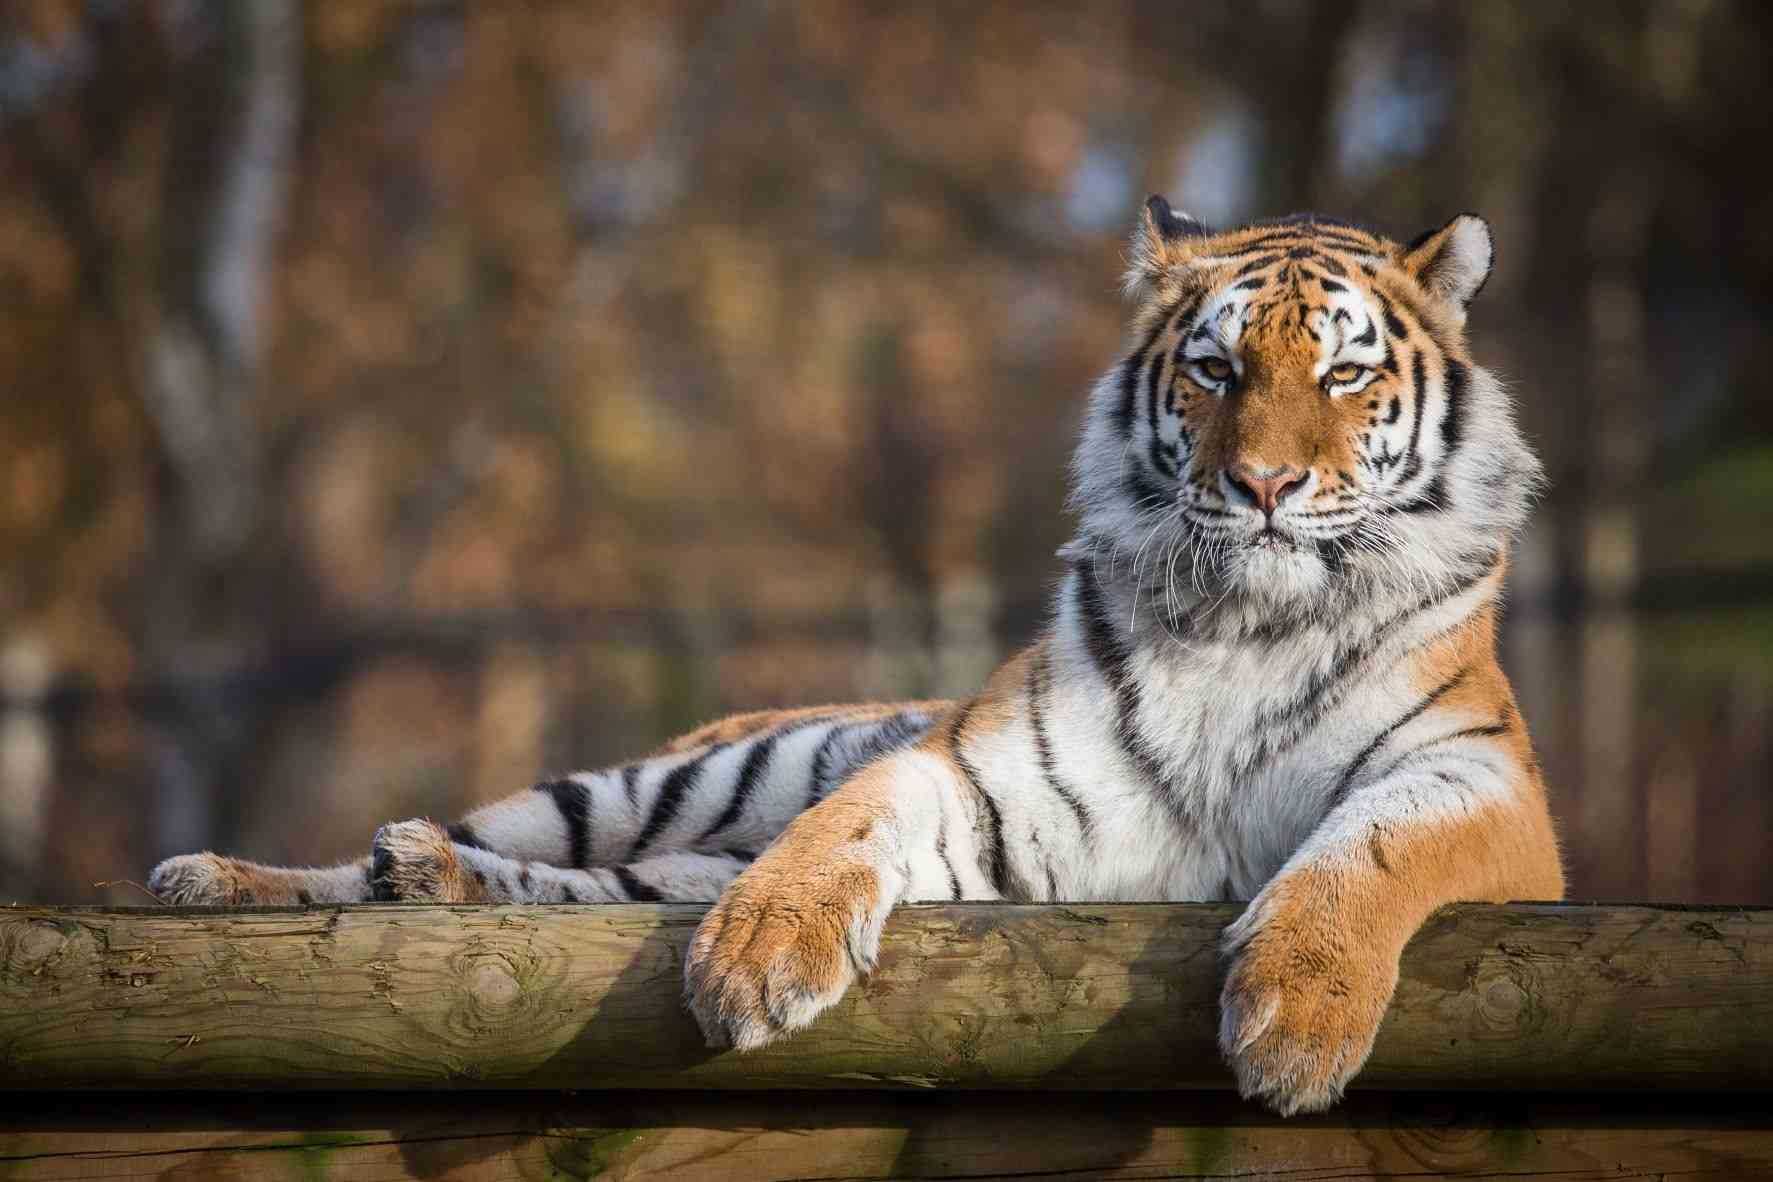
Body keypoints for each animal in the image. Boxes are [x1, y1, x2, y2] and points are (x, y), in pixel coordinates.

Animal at [152, 198, 1567, 1112]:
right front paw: (759, 955)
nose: (1265, 485)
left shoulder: (1480, 783)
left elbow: (1369, 853)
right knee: (488, 844)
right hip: (667, 782)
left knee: (584, 890)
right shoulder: (985, 769)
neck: (1246, 624)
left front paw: (1296, 1024)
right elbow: (853, 816)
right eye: (1215, 370)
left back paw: (421, 881)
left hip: (657, 851)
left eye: (1342, 377)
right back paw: (234, 879)